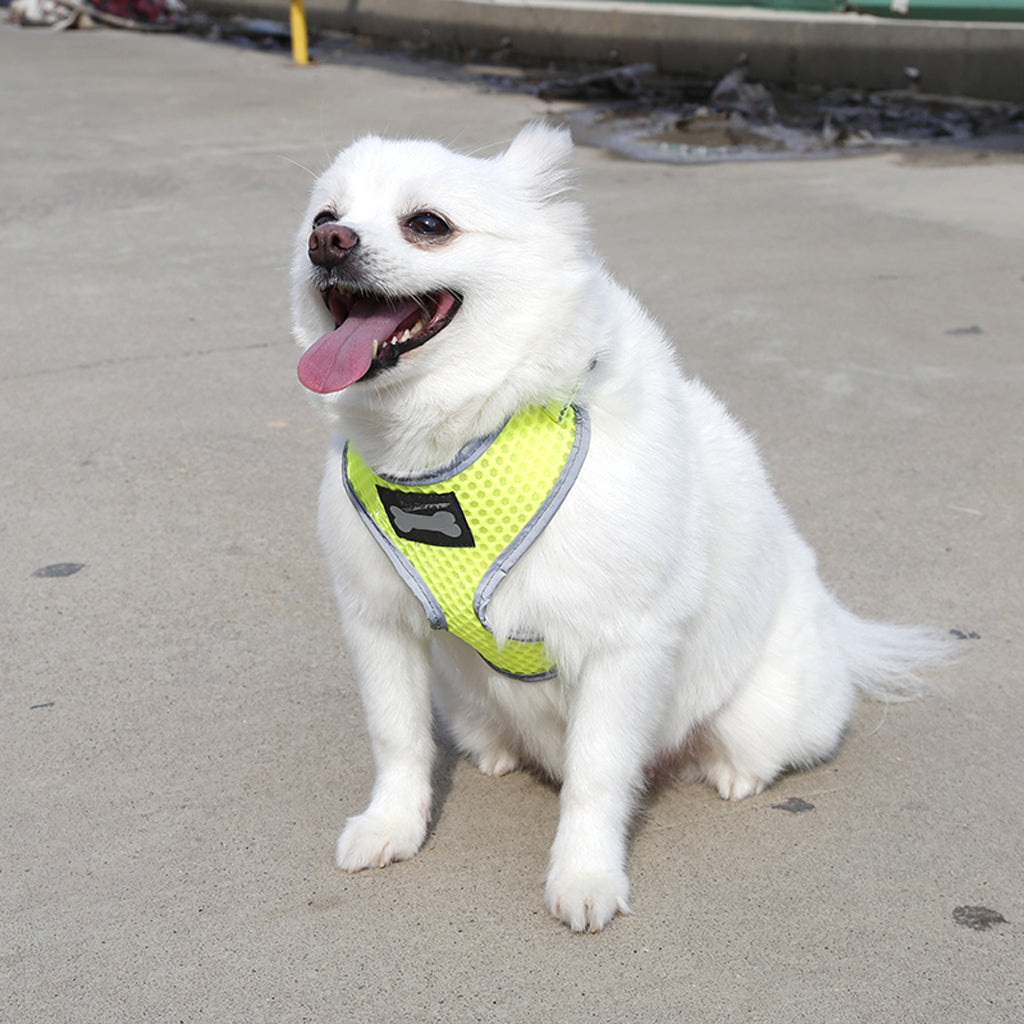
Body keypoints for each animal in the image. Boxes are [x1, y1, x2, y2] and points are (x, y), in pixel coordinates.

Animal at [288, 123, 942, 933]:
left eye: (428, 224)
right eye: (323, 217)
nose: (328, 244)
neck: (455, 447)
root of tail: (836, 627)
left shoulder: (620, 647)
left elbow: (595, 777)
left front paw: (585, 876)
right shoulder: (379, 622)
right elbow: (398, 738)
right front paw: (392, 827)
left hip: (761, 713)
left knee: (753, 748)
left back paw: (732, 771)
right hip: (464, 699)